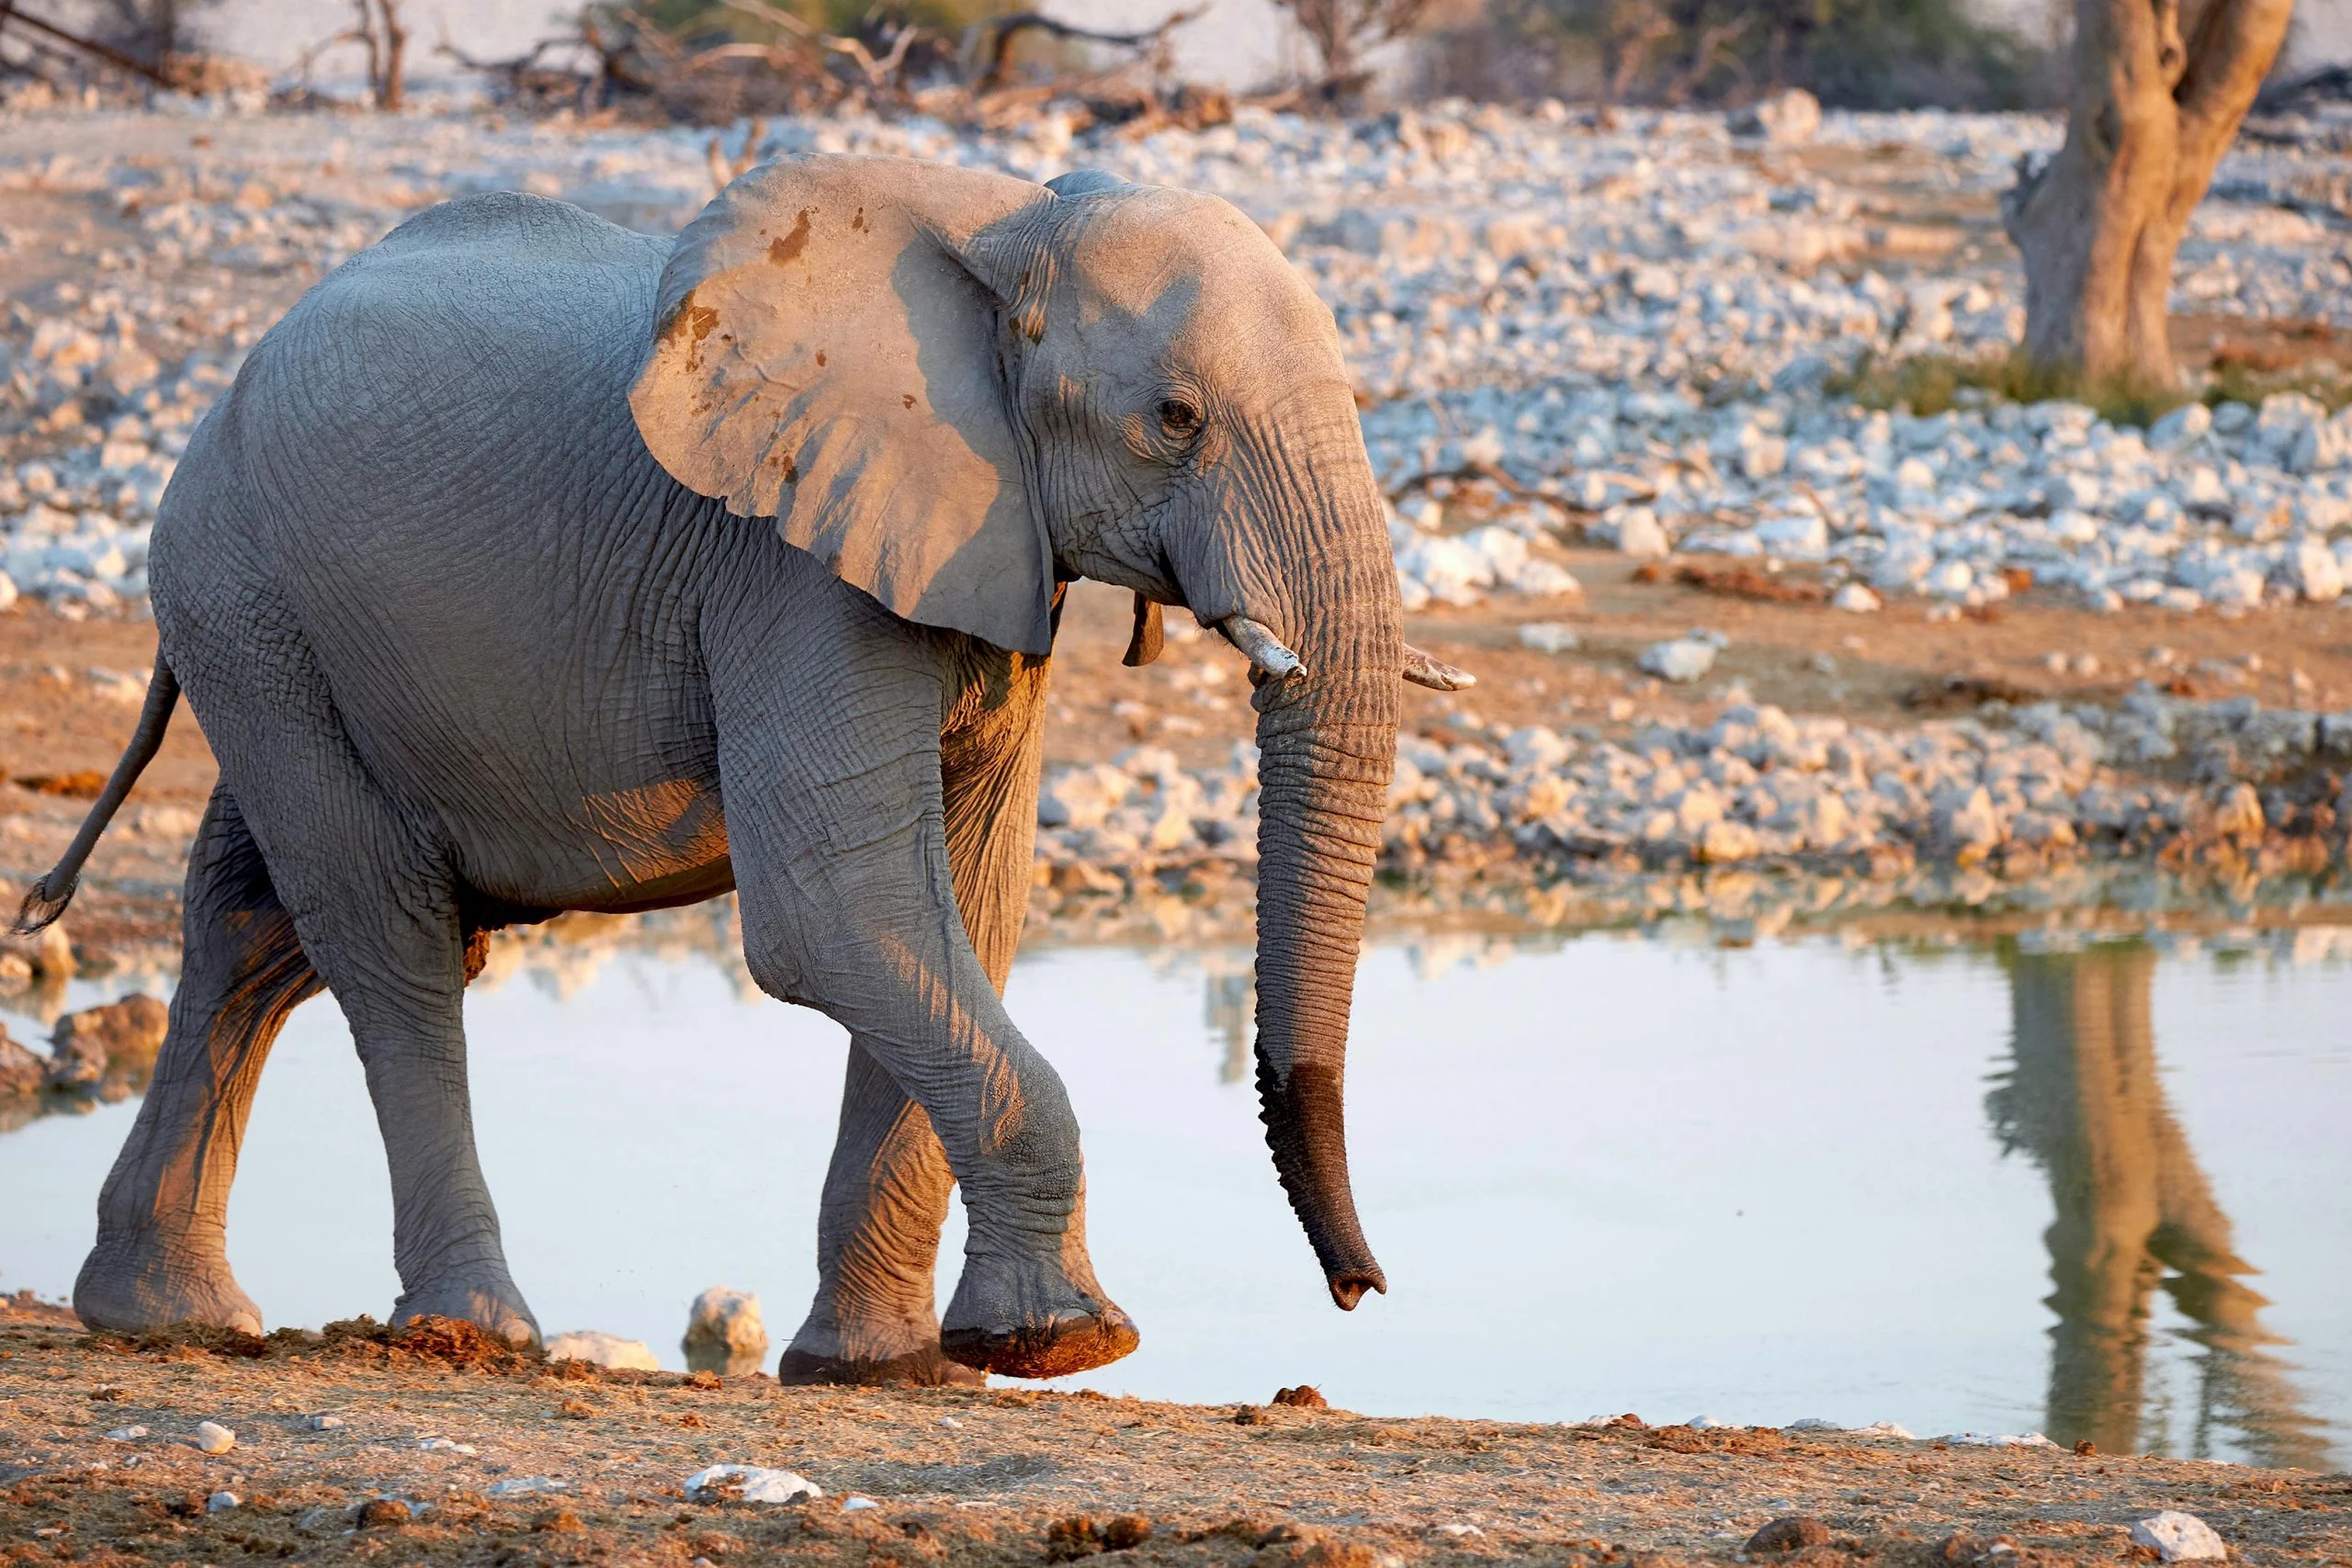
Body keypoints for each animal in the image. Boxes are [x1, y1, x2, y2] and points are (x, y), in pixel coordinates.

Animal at [22, 156, 1467, 1382]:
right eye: (1176, 418)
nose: (1362, 1291)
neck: (1006, 221)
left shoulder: (979, 550)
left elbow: (965, 906)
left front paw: (883, 1368)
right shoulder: (787, 568)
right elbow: (835, 913)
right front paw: (1065, 1344)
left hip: (272, 627)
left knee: (251, 929)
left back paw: (165, 1318)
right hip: (245, 591)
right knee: (384, 934)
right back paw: (475, 1333)